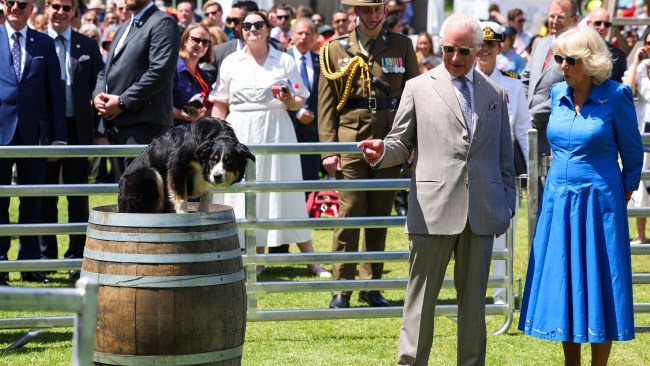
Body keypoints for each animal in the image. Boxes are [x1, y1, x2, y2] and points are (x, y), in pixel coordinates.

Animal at [117, 117, 254, 213]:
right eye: (213, 160)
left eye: (229, 161)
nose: (217, 176)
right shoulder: (176, 163)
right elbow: (181, 197)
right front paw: (183, 214)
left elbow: (206, 196)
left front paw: (203, 212)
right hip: (148, 174)